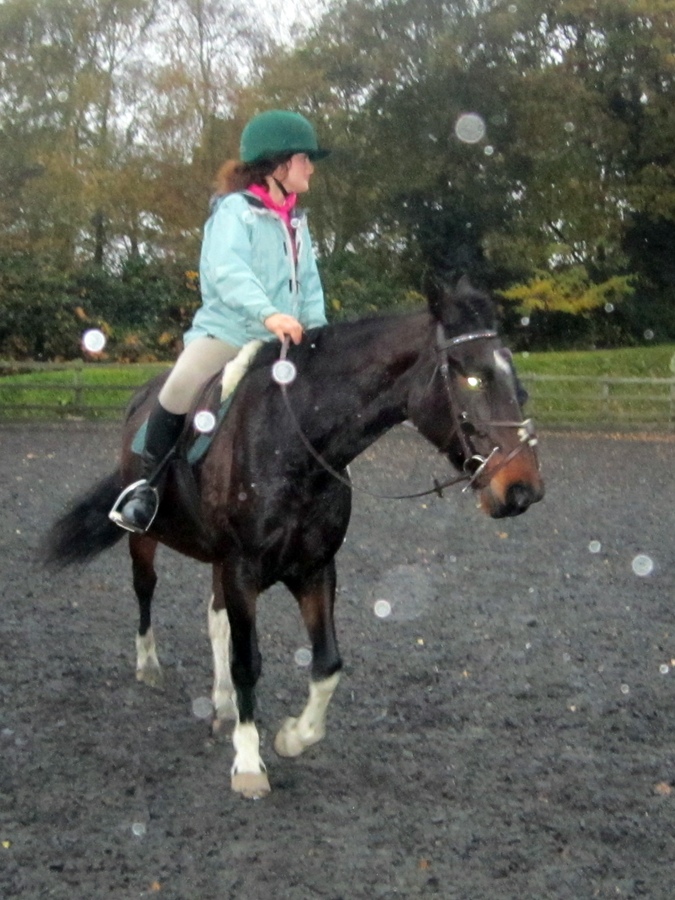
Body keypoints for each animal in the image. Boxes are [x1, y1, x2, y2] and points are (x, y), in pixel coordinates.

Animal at [44, 276, 544, 799]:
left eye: (514, 380)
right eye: (472, 378)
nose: (523, 490)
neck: (294, 441)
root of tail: (141, 396)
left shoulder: (314, 569)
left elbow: (327, 665)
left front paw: (292, 737)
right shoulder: (242, 569)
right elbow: (248, 662)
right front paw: (248, 762)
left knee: (215, 619)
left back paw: (223, 704)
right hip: (148, 539)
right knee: (145, 590)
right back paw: (149, 666)